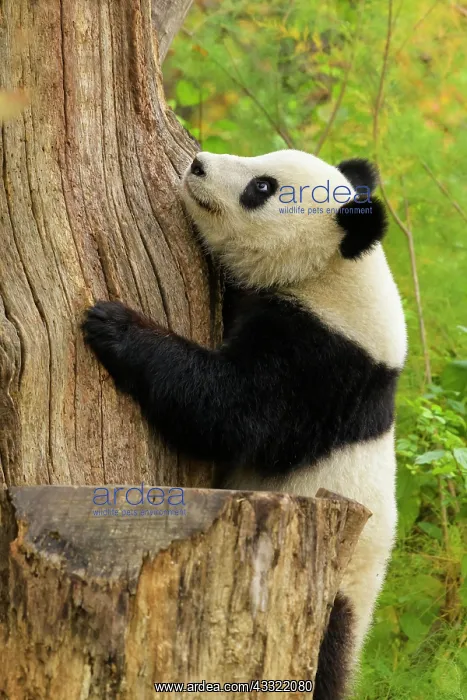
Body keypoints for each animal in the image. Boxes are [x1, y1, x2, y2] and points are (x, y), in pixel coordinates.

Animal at [82, 149, 407, 699]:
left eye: (262, 187)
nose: (197, 163)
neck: (335, 271)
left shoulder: (322, 363)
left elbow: (230, 410)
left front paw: (115, 325)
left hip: (337, 589)